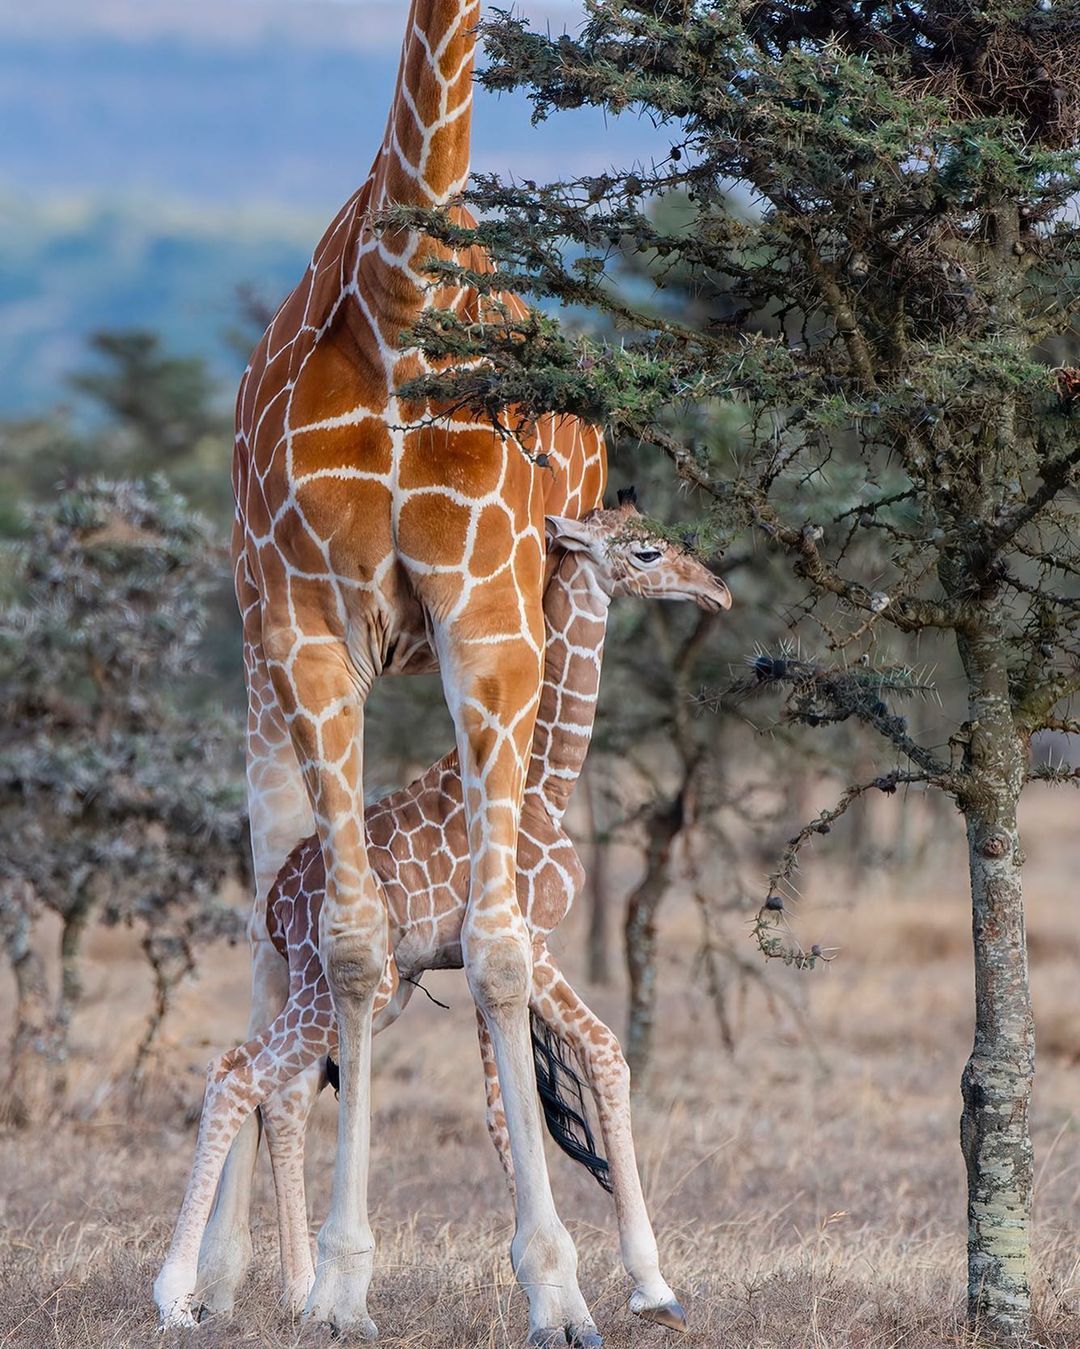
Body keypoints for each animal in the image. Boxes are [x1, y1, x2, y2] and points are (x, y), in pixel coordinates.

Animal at [155, 499, 728, 1338]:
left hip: (357, 989)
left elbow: (527, 1096)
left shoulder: (498, 957)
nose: (717, 590)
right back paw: (180, 1295)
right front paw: (603, 1289)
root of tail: (280, 896)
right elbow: (592, 1060)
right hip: (341, 984)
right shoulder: (534, 940)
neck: (547, 778)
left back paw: (285, 1291)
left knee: (274, 1086)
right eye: (647, 552)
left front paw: (591, 1286)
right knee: (238, 1074)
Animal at [194, 5, 606, 1343]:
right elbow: (356, 942)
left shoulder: (489, 619)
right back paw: (227, 1275)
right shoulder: (308, 623)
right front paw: (334, 1276)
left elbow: (498, 949)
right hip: (258, 646)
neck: (400, 296)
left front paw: (556, 1283)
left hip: (550, 621)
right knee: (272, 925)